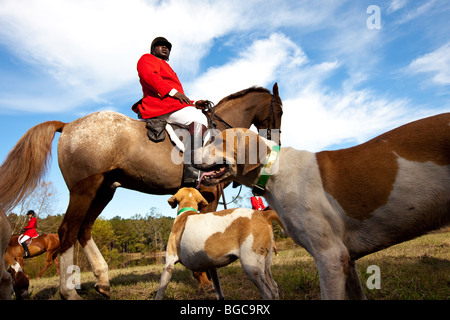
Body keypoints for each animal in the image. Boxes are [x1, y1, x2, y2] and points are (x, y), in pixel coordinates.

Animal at [0, 84, 284, 298]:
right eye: (280, 110)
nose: (276, 142)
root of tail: (69, 124)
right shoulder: (209, 192)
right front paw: (203, 279)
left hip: (104, 191)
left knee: (84, 229)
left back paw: (103, 281)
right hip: (84, 190)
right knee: (67, 231)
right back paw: (69, 292)